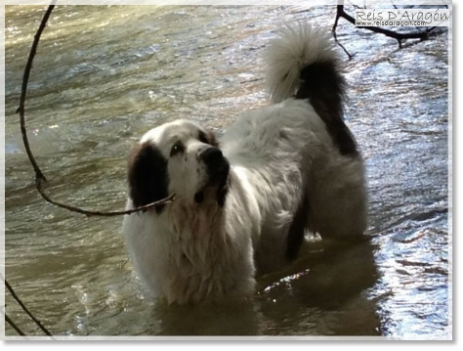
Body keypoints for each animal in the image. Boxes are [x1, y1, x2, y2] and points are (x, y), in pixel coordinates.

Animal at [123, 22, 370, 306]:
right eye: (175, 149)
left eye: (203, 139)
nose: (214, 155)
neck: (189, 228)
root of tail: (304, 101)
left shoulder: (236, 292)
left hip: (340, 212)